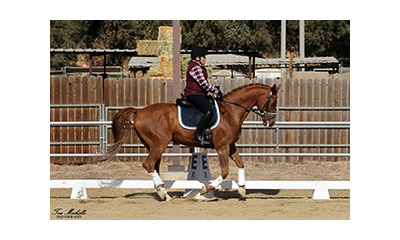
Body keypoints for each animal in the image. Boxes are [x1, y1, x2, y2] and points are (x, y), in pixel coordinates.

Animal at [96, 83, 282, 200]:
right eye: (273, 102)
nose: (271, 122)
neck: (231, 111)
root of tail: (140, 111)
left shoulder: (230, 147)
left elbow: (241, 164)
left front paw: (242, 189)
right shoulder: (222, 147)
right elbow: (224, 172)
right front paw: (206, 189)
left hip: (153, 146)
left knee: (153, 166)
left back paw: (163, 192)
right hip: (159, 144)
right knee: (148, 164)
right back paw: (164, 194)